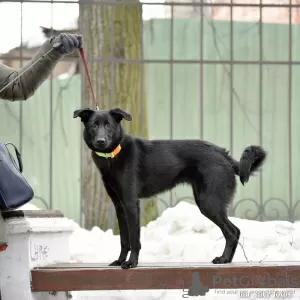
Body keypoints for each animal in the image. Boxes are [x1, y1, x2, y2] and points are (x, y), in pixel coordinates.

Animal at [74, 107, 266, 270]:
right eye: (94, 125)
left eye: (108, 125)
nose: (101, 141)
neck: (112, 155)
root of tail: (224, 155)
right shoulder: (119, 206)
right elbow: (124, 240)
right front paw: (120, 261)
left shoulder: (130, 203)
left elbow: (134, 239)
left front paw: (131, 263)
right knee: (234, 231)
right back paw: (227, 260)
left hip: (209, 203)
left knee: (232, 231)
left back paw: (223, 259)